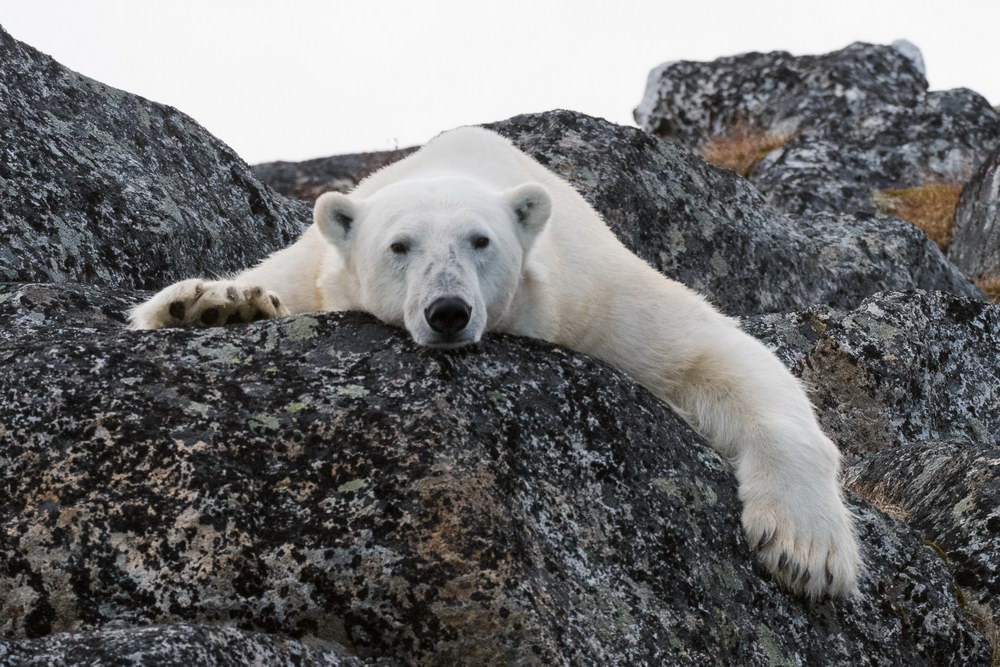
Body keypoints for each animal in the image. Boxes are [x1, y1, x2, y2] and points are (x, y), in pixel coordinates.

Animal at [133, 126, 864, 600]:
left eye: (480, 241)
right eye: (399, 245)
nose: (449, 310)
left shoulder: (593, 297)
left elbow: (717, 355)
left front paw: (807, 551)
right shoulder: (324, 271)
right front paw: (215, 306)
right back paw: (211, 304)